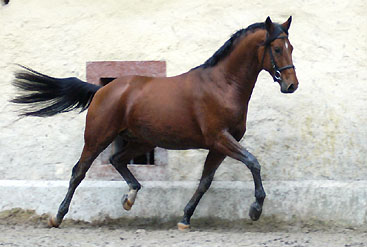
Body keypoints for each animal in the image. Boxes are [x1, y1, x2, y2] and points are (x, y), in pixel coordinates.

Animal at [10, 16, 300, 230]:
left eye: (291, 48)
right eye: (277, 48)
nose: (291, 85)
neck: (222, 84)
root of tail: (103, 89)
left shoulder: (219, 145)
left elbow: (205, 181)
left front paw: (185, 218)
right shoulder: (220, 138)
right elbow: (253, 162)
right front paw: (255, 209)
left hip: (141, 140)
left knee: (117, 160)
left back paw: (130, 197)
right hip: (98, 137)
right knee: (78, 171)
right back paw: (58, 216)